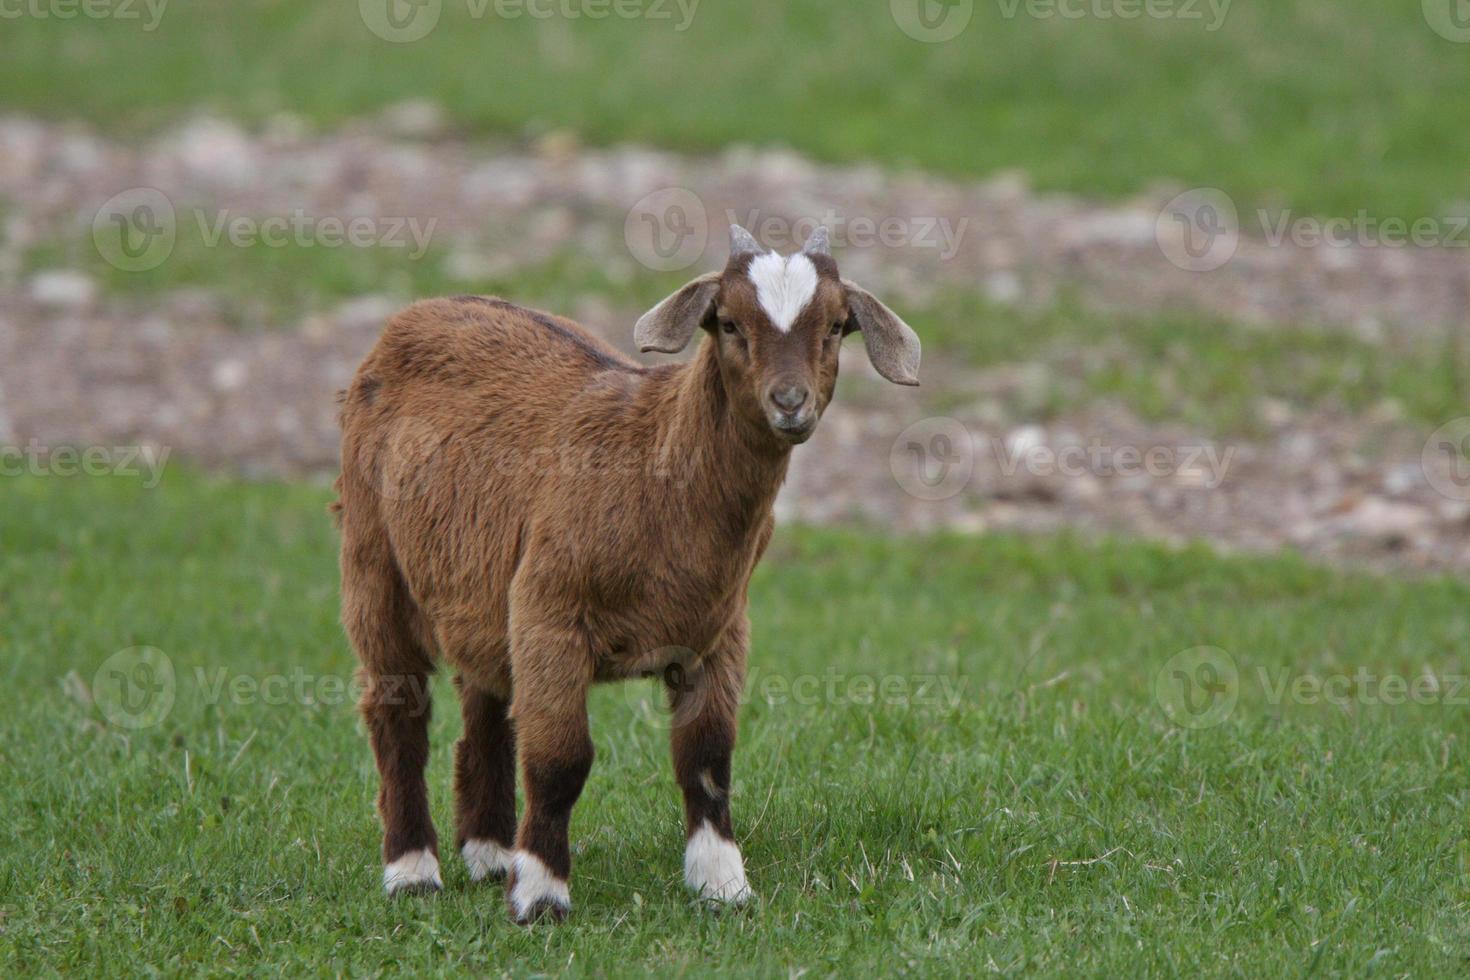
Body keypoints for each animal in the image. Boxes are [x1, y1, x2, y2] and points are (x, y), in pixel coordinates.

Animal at [336, 226, 917, 922]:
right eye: (727, 323)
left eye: (834, 326)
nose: (789, 402)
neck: (656, 460)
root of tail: (417, 312)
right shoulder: (551, 608)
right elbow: (560, 759)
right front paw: (541, 894)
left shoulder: (717, 629)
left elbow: (706, 755)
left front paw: (722, 882)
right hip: (374, 562)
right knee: (397, 713)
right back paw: (413, 870)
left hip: (479, 588)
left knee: (483, 707)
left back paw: (489, 853)